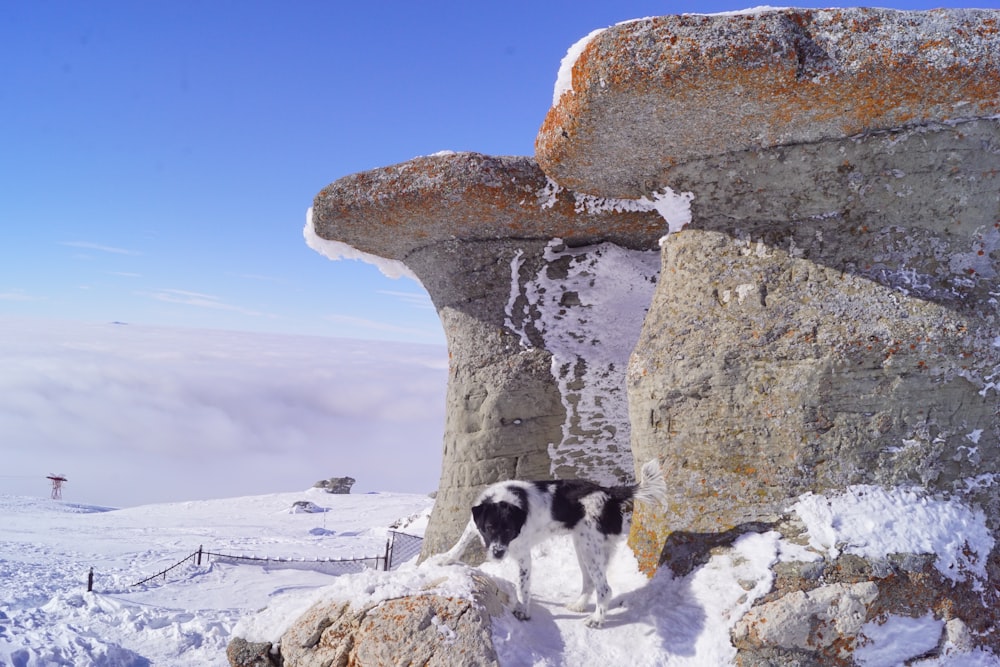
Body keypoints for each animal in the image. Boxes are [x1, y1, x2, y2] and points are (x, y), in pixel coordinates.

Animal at [436, 462, 664, 628]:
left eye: (509, 531)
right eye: (489, 527)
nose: (498, 554)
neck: (507, 498)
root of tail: (609, 493)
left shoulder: (523, 556)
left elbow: (523, 586)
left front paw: (523, 611)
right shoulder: (474, 523)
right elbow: (462, 541)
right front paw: (445, 558)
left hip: (589, 548)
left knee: (605, 589)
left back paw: (596, 619)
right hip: (583, 546)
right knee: (590, 582)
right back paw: (579, 605)